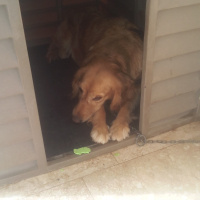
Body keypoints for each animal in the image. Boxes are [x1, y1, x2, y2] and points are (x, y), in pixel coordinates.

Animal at [46, 6, 143, 144]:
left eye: (97, 98)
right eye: (80, 90)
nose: (75, 119)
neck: (113, 53)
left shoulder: (136, 87)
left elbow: (127, 106)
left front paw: (119, 126)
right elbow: (99, 110)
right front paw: (100, 129)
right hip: (64, 46)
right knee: (54, 44)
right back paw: (51, 54)